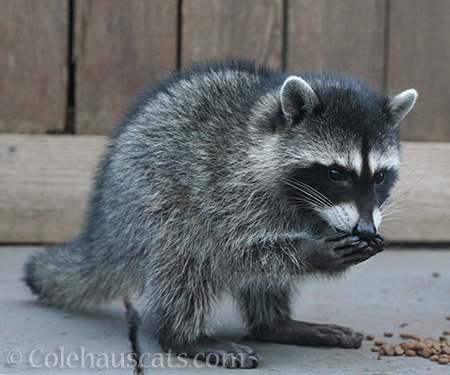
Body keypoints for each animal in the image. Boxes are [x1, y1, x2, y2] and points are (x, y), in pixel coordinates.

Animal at [25, 60, 418, 368]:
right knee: (186, 254)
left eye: (380, 176)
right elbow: (237, 251)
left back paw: (274, 324)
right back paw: (184, 336)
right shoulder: (228, 186)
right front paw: (315, 252)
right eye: (336, 173)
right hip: (149, 204)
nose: (364, 228)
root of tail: (107, 222)